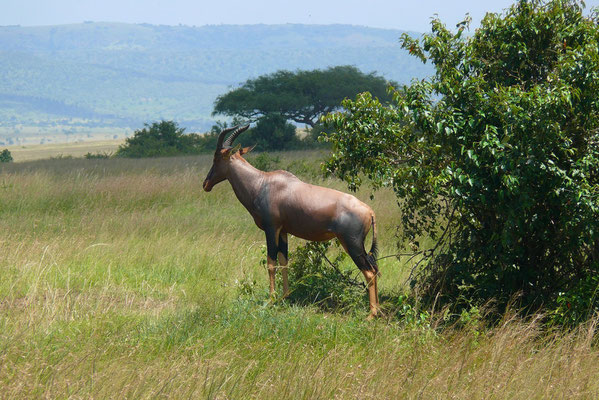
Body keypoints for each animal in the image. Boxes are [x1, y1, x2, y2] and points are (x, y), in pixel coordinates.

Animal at [203, 125, 380, 318]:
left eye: (216, 157)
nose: (206, 184)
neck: (263, 183)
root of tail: (369, 211)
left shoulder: (271, 228)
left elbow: (271, 263)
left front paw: (271, 300)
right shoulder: (283, 231)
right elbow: (284, 262)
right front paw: (284, 297)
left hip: (352, 243)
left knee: (369, 272)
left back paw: (371, 315)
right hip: (359, 245)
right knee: (375, 268)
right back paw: (378, 309)